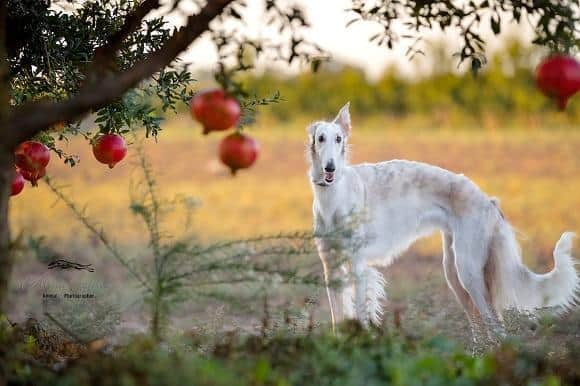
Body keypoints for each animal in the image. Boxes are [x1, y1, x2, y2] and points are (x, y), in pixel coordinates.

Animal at [310, 102, 576, 338]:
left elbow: (360, 314)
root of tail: (489, 201)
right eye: (320, 138)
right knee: (481, 331)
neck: (334, 197)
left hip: (468, 272)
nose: (330, 168)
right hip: (454, 272)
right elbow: (337, 318)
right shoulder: (330, 266)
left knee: (496, 327)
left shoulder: (357, 264)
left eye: (339, 138)